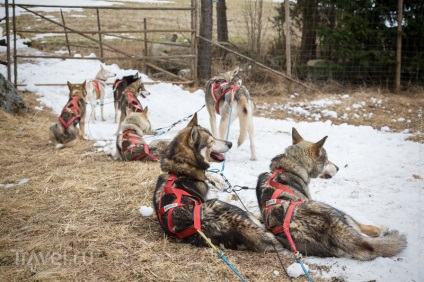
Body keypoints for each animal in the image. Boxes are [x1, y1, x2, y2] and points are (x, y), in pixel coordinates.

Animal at [255, 128, 408, 260]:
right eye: (326, 159)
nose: (338, 168)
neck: (289, 166)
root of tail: (333, 229)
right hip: (339, 212)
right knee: (363, 227)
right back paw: (381, 229)